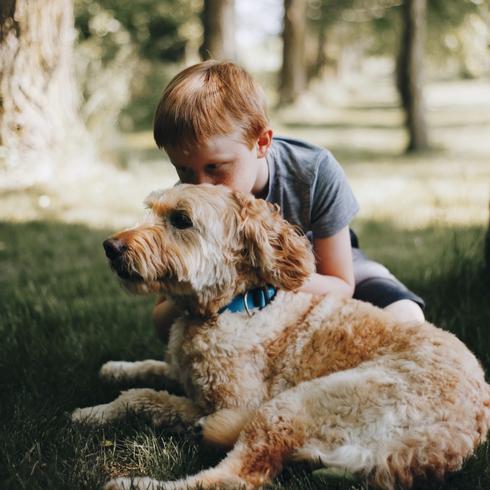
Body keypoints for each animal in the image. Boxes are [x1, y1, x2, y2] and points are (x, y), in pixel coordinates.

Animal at [72, 184, 490, 490]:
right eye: (154, 210)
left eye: (181, 219)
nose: (110, 247)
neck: (234, 305)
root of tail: (439, 448)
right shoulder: (185, 373)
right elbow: (146, 377)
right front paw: (112, 377)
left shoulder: (229, 403)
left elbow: (149, 398)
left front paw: (95, 411)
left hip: (293, 406)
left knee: (233, 479)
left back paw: (137, 483)